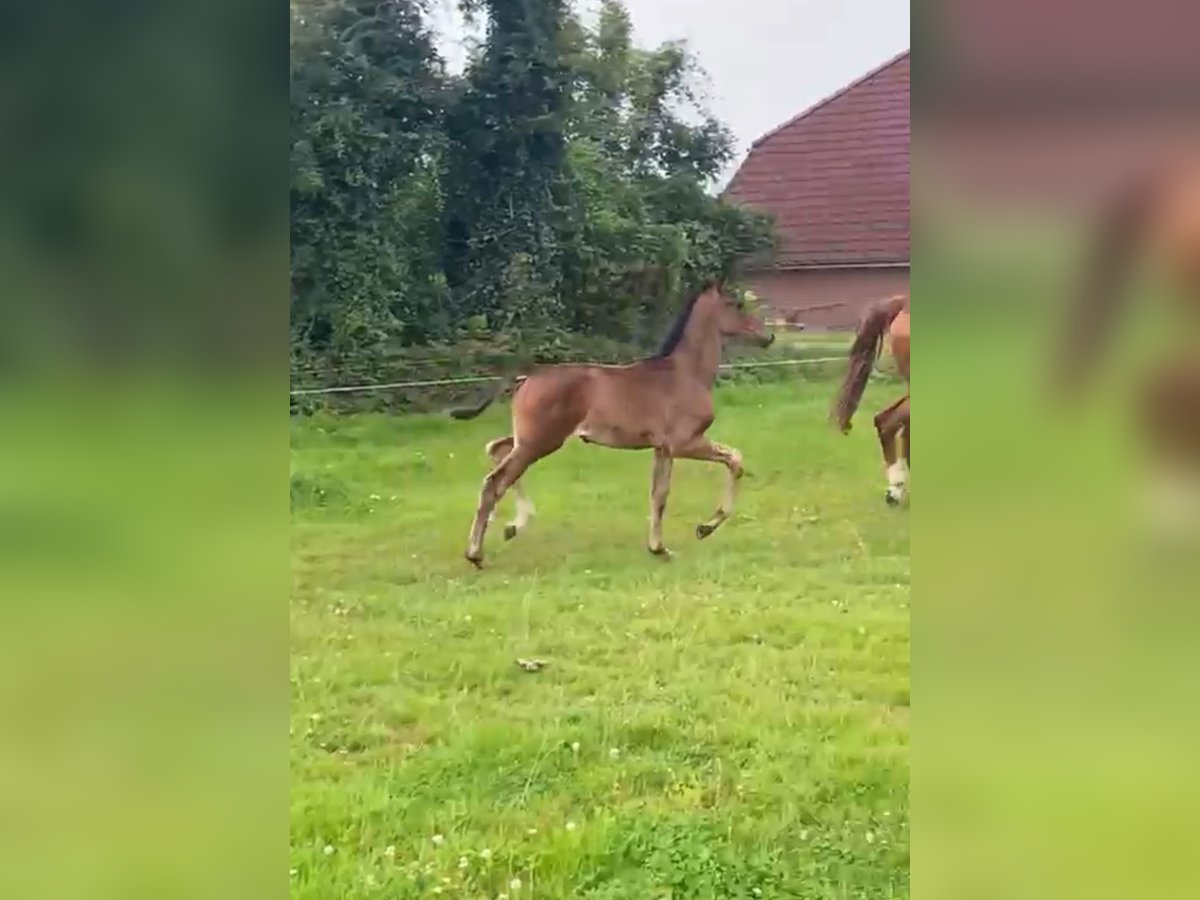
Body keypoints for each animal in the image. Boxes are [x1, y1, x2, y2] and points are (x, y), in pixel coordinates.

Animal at [451, 282, 777, 571]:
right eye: (735, 304)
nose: (769, 336)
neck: (686, 373)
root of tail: (527, 377)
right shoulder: (686, 442)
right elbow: (735, 460)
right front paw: (704, 528)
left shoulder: (663, 448)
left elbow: (659, 496)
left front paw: (659, 549)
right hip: (541, 441)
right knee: (495, 481)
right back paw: (476, 554)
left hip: (529, 438)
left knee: (495, 449)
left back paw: (512, 527)